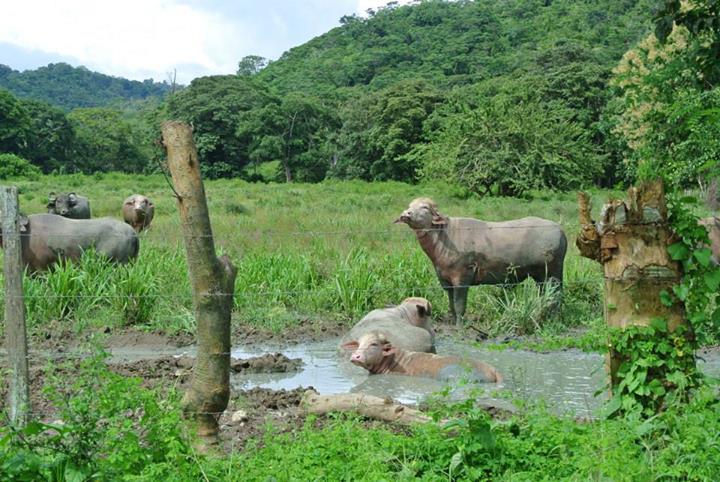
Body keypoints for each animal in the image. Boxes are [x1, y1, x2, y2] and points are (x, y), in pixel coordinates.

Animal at [394, 198, 568, 326]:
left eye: (424, 207)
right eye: (410, 206)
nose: (406, 214)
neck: (444, 236)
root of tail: (560, 230)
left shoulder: (462, 278)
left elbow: (459, 304)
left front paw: (459, 325)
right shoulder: (445, 280)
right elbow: (451, 304)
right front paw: (452, 321)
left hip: (554, 272)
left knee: (556, 294)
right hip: (540, 276)